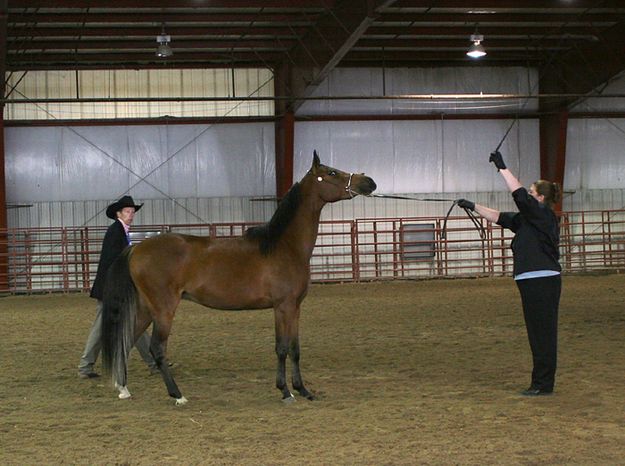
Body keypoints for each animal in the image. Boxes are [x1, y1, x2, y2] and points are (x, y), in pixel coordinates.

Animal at [101, 152, 376, 404]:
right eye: (331, 173)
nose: (369, 182)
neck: (284, 246)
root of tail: (136, 248)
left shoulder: (295, 308)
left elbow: (295, 349)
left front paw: (303, 390)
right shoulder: (283, 307)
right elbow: (281, 348)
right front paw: (285, 391)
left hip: (145, 308)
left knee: (127, 341)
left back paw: (123, 388)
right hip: (163, 309)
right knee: (157, 348)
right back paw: (177, 395)